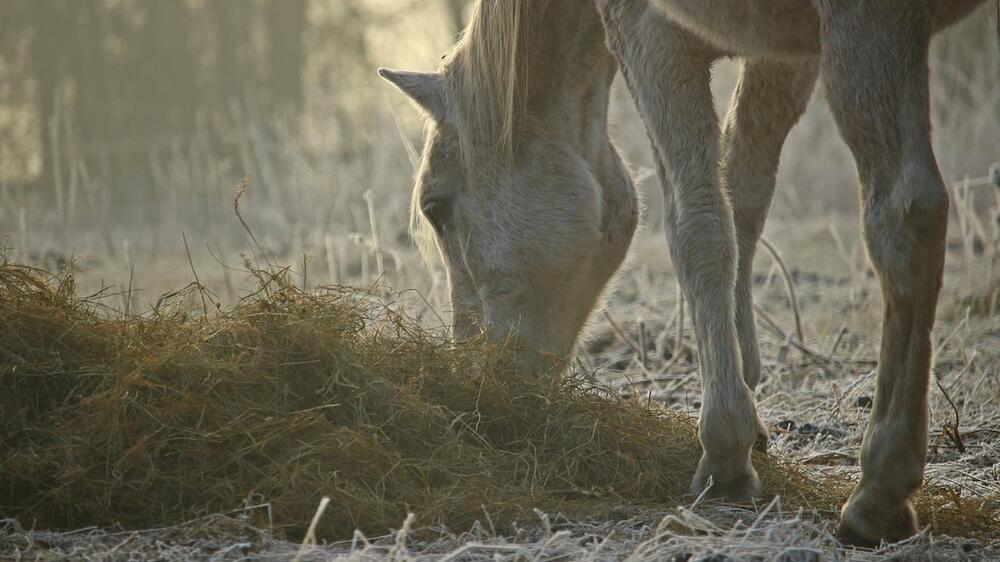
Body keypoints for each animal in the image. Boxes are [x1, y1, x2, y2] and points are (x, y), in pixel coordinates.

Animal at [378, 0, 988, 544]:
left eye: (435, 207)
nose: (476, 378)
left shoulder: (651, 32)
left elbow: (698, 222)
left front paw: (725, 453)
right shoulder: (784, 51)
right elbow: (742, 193)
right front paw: (746, 390)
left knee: (903, 213)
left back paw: (877, 493)